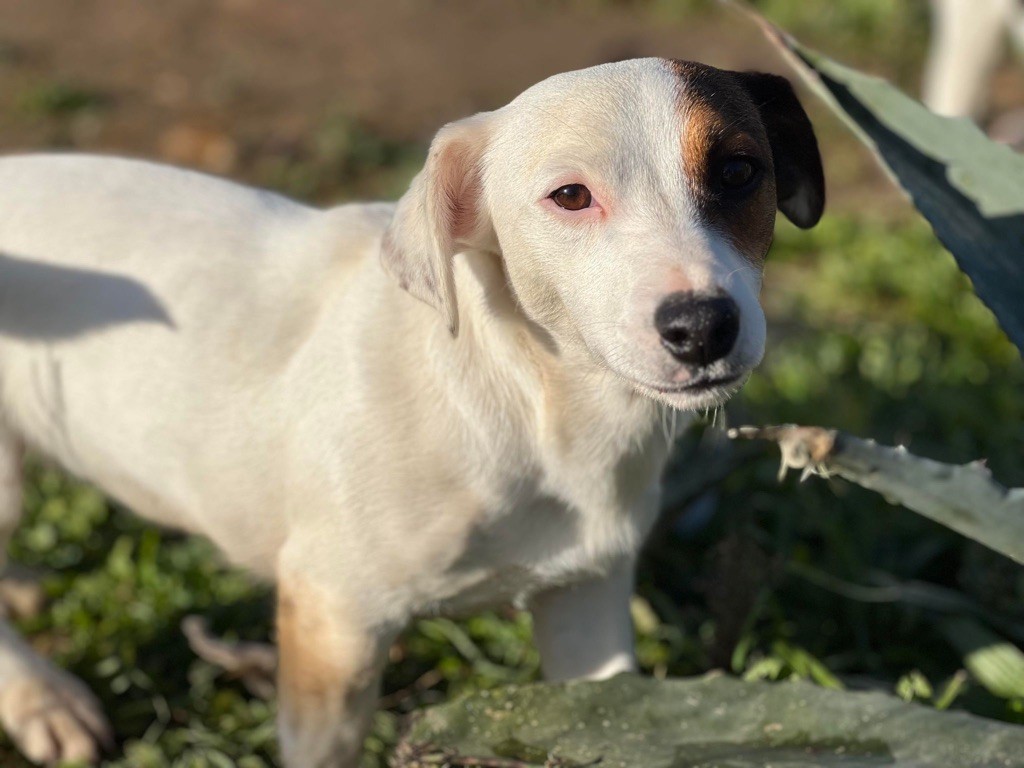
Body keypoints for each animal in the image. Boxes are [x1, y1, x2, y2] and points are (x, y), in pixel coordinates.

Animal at [0, 57, 823, 765]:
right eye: (570, 196)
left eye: (739, 172)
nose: (703, 327)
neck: (535, 407)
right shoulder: (334, 619)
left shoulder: (586, 601)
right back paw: (43, 699)